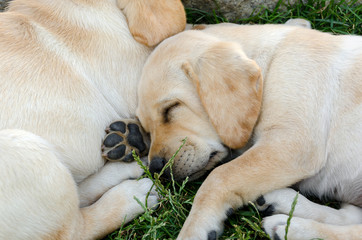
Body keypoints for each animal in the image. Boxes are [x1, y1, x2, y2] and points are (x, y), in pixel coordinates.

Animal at [136, 23, 362, 240]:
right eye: (146, 129)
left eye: (171, 108)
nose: (155, 169)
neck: (269, 68)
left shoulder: (292, 143)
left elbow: (219, 176)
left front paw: (193, 229)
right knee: (351, 216)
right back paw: (282, 203)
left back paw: (293, 229)